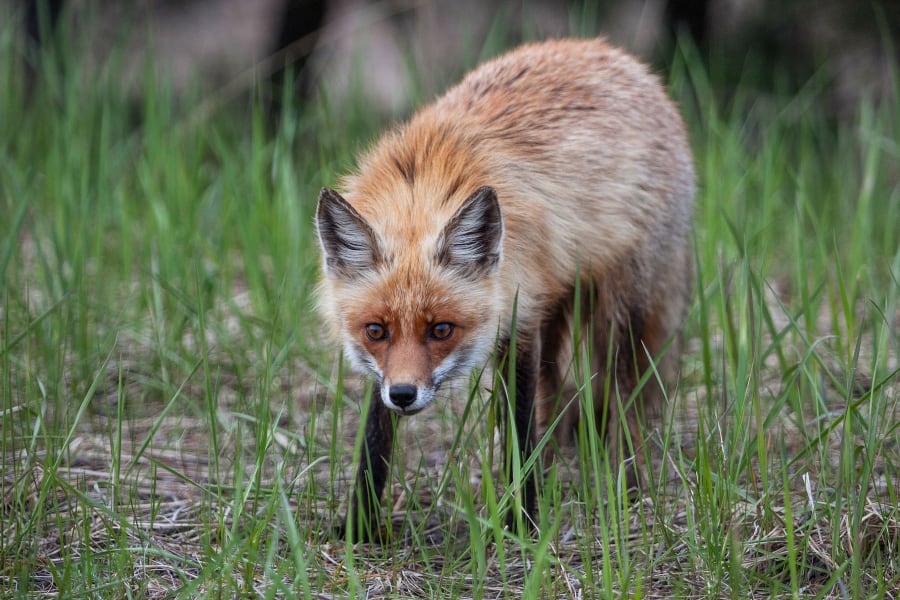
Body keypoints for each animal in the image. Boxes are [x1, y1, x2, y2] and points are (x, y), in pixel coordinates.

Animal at [316, 37, 696, 540]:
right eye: (375, 331)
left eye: (442, 330)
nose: (404, 395)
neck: (425, 182)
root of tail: (611, 53)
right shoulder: (385, 370)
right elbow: (374, 441)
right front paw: (359, 527)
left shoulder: (520, 317)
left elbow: (518, 426)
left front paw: (524, 520)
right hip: (559, 307)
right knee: (555, 391)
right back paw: (554, 468)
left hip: (617, 312)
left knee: (623, 395)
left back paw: (624, 479)